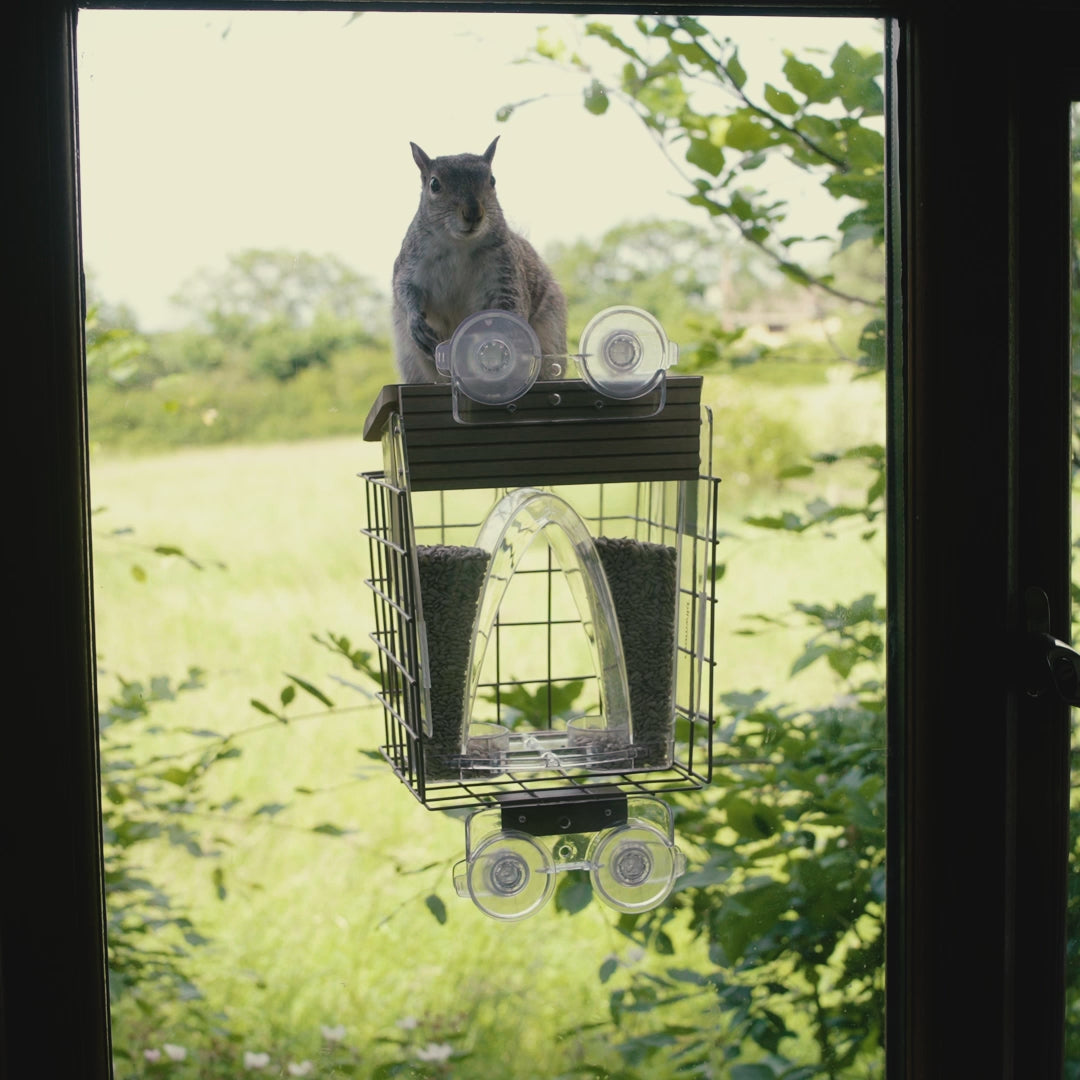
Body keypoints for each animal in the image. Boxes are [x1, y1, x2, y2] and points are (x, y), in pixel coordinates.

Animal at [393, 137, 570, 386]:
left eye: (492, 180)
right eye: (434, 184)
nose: (473, 212)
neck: (459, 245)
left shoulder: (505, 272)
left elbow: (511, 304)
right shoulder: (410, 263)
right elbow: (404, 289)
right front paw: (415, 320)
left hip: (550, 333)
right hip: (411, 359)